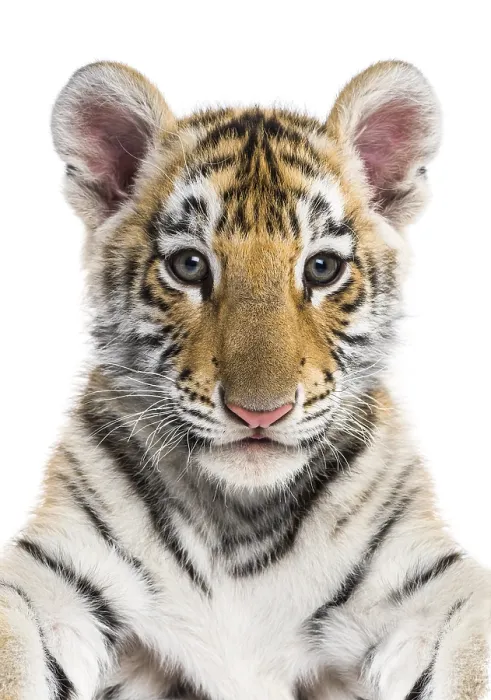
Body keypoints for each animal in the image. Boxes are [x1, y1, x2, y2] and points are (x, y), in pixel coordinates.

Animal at [0, 58, 490, 700]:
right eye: (189, 266)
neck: (239, 521)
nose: (262, 413)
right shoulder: (54, 578)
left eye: (322, 268)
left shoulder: (427, 588)